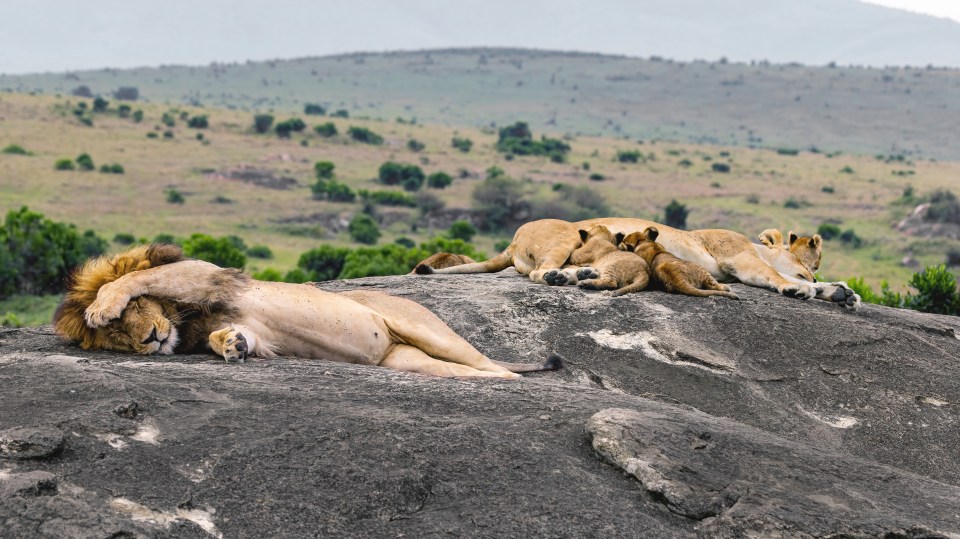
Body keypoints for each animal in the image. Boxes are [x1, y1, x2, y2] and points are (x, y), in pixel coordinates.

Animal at [52, 245, 564, 380]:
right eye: (119, 340)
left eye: (136, 311)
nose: (150, 340)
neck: (184, 323)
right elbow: (241, 339)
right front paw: (231, 344)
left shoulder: (204, 274)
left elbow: (137, 275)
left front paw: (101, 303)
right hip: (408, 359)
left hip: (425, 328)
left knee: (499, 371)